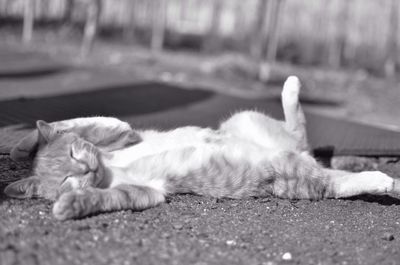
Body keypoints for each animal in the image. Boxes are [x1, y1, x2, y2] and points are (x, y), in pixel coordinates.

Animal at [3, 75, 400, 220]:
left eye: (74, 155)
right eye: (65, 181)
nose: (87, 169)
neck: (109, 167)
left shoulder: (126, 131)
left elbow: (82, 122)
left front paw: (24, 145)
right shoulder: (150, 192)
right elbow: (109, 198)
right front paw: (72, 205)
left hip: (248, 122)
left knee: (300, 129)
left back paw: (291, 85)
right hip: (294, 175)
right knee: (332, 177)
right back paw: (385, 181)